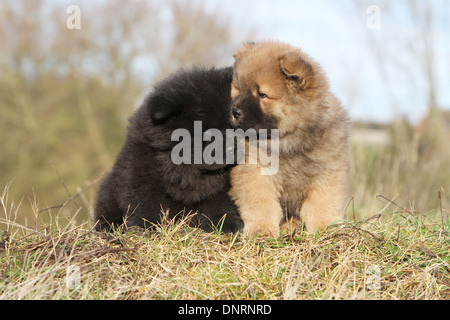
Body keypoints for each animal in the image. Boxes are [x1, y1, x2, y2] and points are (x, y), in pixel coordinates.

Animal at [93, 67, 244, 232]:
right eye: (208, 133)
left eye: (232, 127)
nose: (232, 148)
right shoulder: (140, 174)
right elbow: (145, 203)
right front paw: (147, 227)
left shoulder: (223, 185)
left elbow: (221, 204)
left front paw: (226, 226)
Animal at [230, 40, 350, 238]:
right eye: (238, 90)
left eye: (262, 94)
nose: (235, 111)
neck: (288, 141)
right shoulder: (256, 171)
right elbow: (261, 204)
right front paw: (261, 230)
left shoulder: (328, 172)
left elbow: (322, 204)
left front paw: (326, 228)